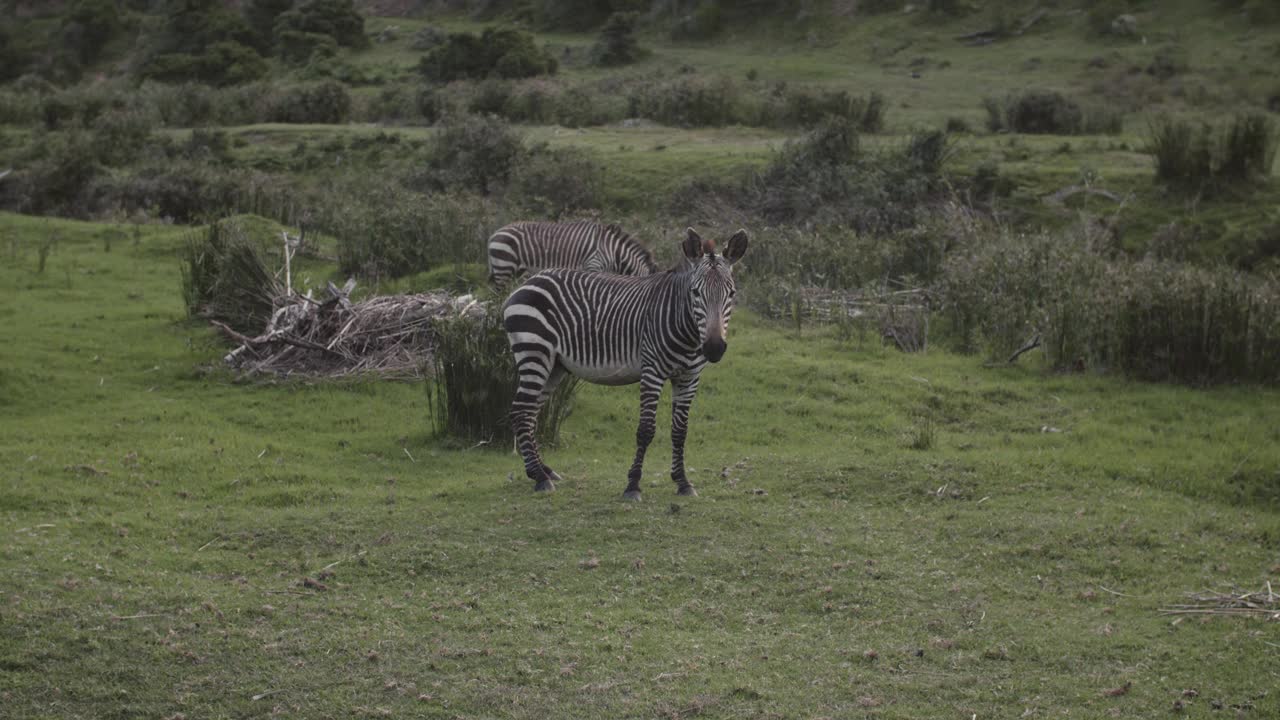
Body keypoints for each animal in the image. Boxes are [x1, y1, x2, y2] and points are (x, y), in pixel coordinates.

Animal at [501, 226, 747, 497]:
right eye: (695, 293)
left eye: (731, 293)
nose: (714, 348)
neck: (687, 331)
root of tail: (527, 282)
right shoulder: (652, 371)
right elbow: (646, 430)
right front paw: (633, 485)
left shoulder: (689, 378)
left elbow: (680, 431)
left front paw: (683, 482)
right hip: (534, 352)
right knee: (521, 411)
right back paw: (539, 477)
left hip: (554, 366)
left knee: (529, 413)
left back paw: (542, 470)